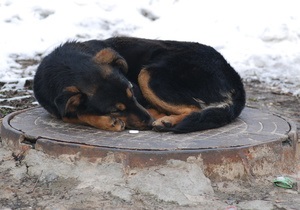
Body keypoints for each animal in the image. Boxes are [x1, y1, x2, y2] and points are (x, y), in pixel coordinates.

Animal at [33, 37, 244, 133]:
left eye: (133, 93)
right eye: (115, 109)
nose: (149, 121)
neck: (65, 66)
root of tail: (233, 76)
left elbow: (78, 114)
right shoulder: (58, 108)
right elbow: (74, 114)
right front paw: (106, 120)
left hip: (148, 74)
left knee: (195, 108)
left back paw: (167, 121)